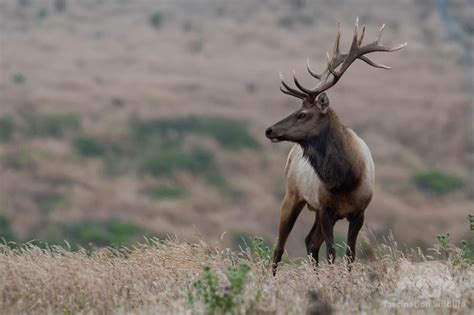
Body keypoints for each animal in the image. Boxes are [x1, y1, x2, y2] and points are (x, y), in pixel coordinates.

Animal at [264, 17, 406, 274]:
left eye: (302, 114)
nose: (269, 130)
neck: (346, 178)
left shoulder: (359, 212)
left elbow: (350, 254)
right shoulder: (326, 209)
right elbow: (331, 252)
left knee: (310, 241)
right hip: (292, 195)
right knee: (280, 246)